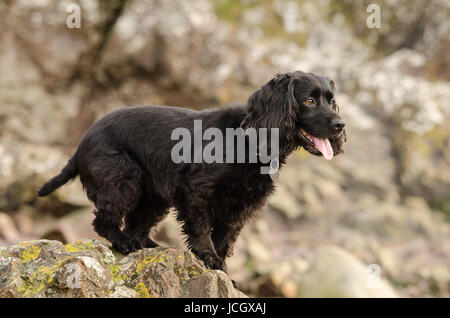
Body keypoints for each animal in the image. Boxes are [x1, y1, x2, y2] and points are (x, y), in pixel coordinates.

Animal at [39, 71, 348, 274]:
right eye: (309, 101)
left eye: (331, 100)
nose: (340, 124)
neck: (249, 139)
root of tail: (82, 142)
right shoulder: (196, 191)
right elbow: (201, 229)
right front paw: (208, 258)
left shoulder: (240, 206)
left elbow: (225, 240)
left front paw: (223, 270)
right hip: (123, 181)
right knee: (105, 221)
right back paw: (126, 243)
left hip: (152, 197)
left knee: (136, 225)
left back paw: (149, 246)